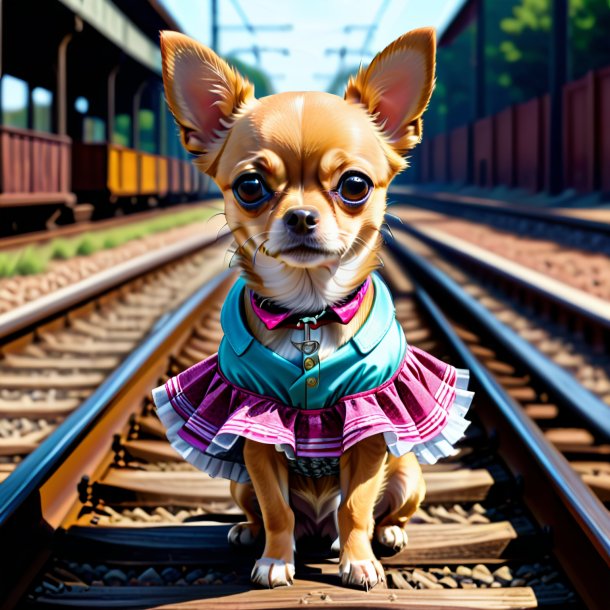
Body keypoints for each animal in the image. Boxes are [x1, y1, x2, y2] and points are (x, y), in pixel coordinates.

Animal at [162, 29, 434, 588]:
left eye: (355, 185)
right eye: (250, 187)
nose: (302, 216)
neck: (307, 314)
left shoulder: (369, 432)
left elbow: (356, 506)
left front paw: (358, 561)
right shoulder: (256, 434)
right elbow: (276, 508)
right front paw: (274, 560)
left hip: (408, 472)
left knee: (377, 510)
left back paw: (386, 536)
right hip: (238, 481)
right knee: (263, 509)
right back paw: (249, 533)